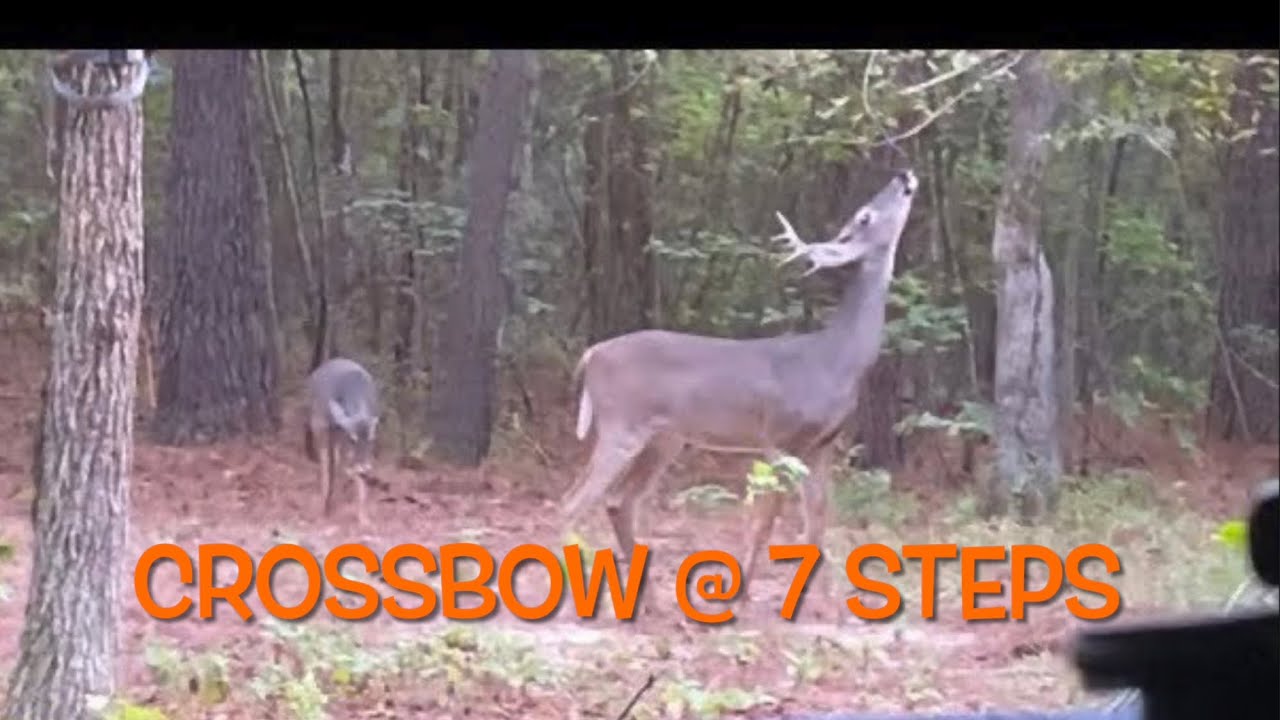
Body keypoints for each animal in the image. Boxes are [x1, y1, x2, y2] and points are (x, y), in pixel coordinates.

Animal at [303, 357, 381, 526]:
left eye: (372, 439)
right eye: (353, 439)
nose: (365, 469)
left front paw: (363, 518)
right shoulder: (323, 427)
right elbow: (328, 469)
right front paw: (324, 510)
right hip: (320, 426)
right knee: (329, 464)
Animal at [559, 168, 919, 603]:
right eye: (864, 215)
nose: (903, 175)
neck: (837, 358)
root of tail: (591, 353)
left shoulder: (822, 445)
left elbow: (817, 519)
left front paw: (832, 602)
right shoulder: (780, 438)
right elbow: (767, 521)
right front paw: (743, 593)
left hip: (665, 438)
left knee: (617, 501)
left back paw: (651, 599)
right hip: (621, 425)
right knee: (571, 502)